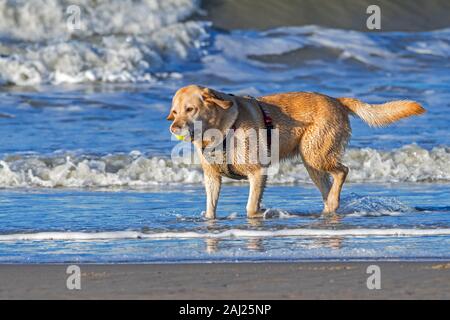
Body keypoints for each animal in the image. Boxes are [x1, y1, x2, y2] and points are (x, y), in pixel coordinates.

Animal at [166, 84, 426, 220]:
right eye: (175, 111)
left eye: (190, 109)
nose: (173, 127)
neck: (222, 129)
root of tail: (337, 100)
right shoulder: (212, 177)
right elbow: (211, 208)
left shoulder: (257, 172)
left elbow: (251, 206)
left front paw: (258, 214)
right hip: (312, 163)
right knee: (329, 186)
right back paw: (329, 207)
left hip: (315, 153)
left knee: (343, 171)